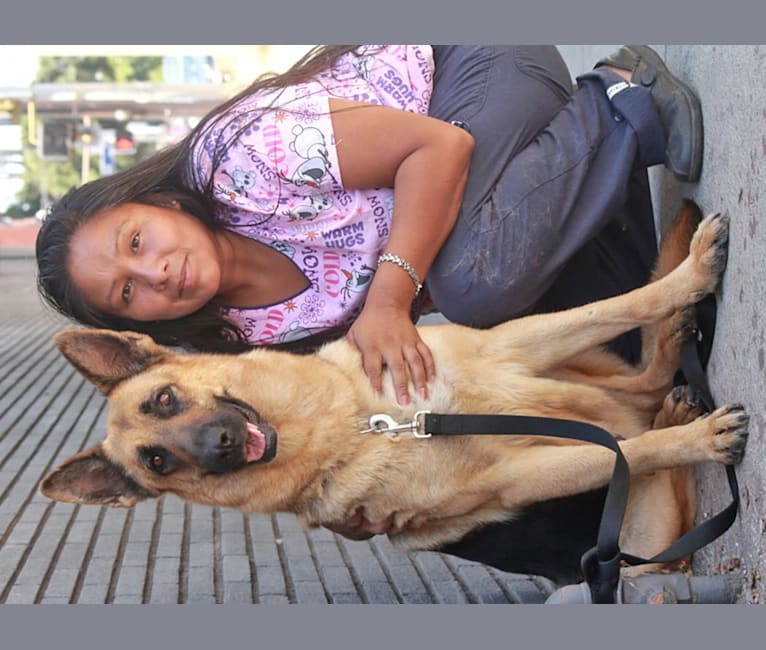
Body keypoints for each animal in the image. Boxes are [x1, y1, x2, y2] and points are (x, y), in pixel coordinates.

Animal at [40, 202, 752, 584]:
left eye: (163, 399)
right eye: (157, 461)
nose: (218, 444)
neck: (356, 425)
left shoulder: (509, 345)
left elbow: (619, 305)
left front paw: (690, 276)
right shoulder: (516, 476)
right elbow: (636, 451)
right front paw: (699, 440)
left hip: (572, 370)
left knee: (641, 379)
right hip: (640, 545)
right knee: (642, 413)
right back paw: (678, 410)